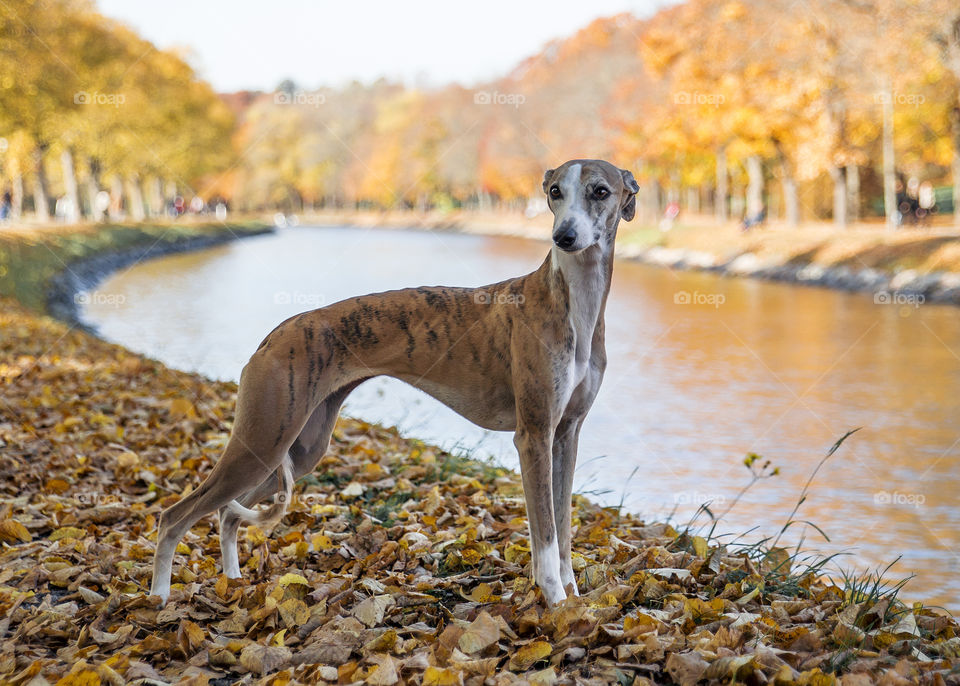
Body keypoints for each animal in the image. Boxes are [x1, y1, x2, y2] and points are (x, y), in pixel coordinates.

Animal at [152, 161, 636, 608]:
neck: (572, 304)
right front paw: (556, 604)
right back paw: (158, 599)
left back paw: (231, 582)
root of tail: (277, 333)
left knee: (228, 515)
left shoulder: (565, 435)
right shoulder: (533, 436)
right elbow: (546, 537)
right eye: (555, 191)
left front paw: (575, 598)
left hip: (299, 447)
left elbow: (565, 527)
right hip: (263, 438)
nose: (564, 237)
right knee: (175, 516)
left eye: (600, 191)